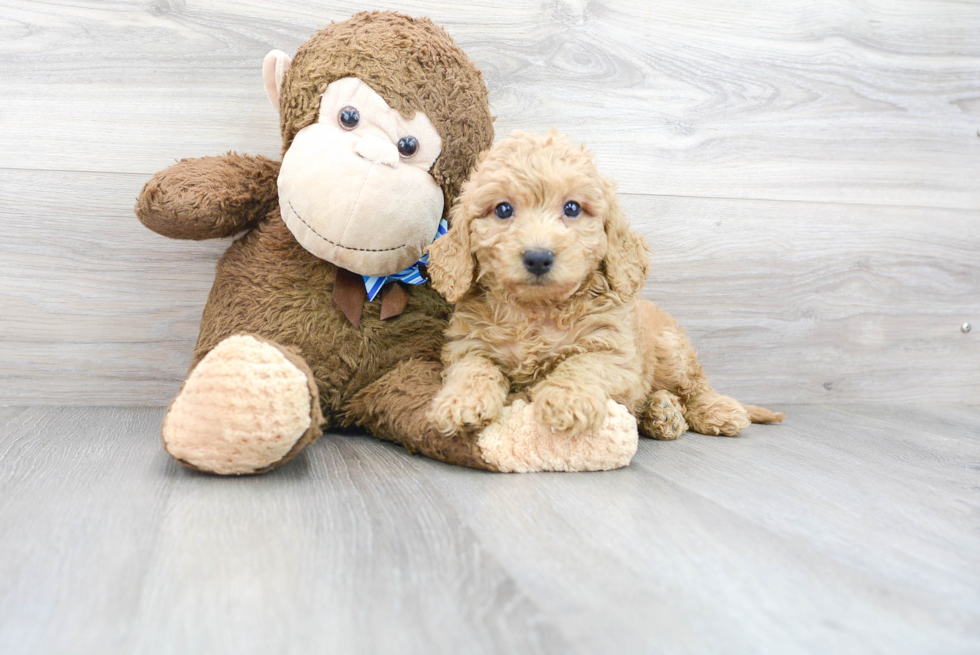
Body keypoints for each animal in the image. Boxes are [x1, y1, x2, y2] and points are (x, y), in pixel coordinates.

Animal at [424, 131, 784, 440]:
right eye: (503, 209)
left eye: (572, 208)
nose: (538, 257)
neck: (536, 311)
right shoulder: (468, 345)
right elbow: (474, 368)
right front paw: (460, 402)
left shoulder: (615, 351)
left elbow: (581, 363)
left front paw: (566, 401)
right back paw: (663, 413)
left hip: (672, 352)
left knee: (695, 388)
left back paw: (715, 410)